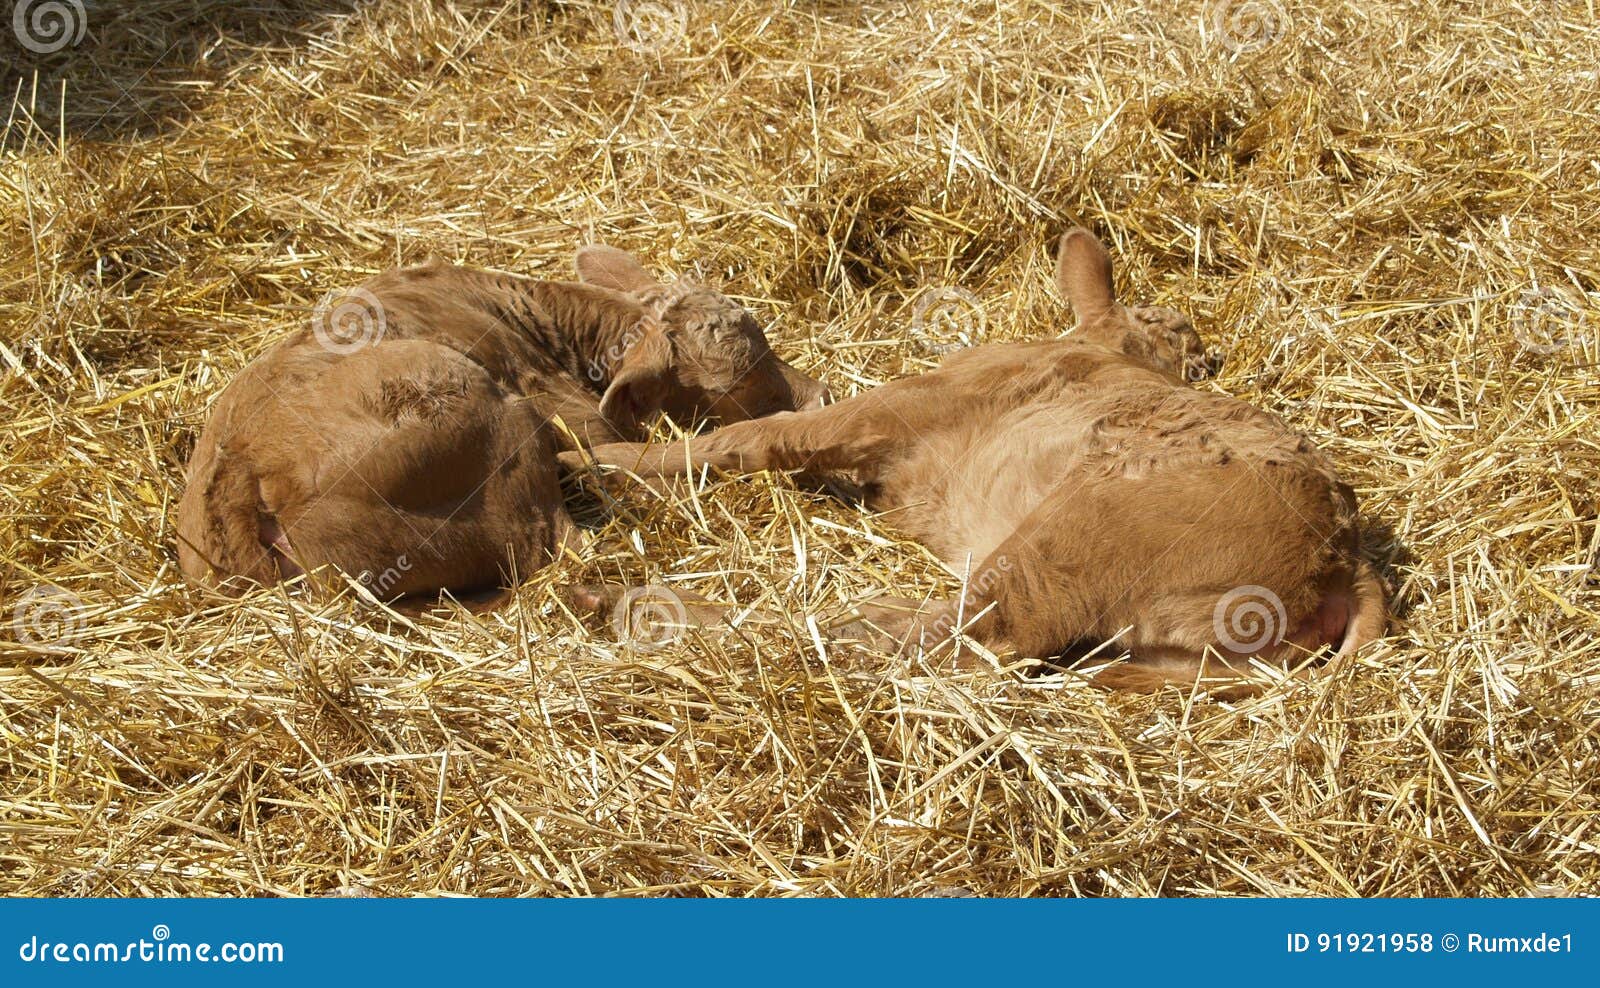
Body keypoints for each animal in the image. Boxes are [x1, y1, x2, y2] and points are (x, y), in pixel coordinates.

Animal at [178, 246, 825, 594]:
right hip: (495, 419)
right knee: (564, 545)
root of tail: (238, 490)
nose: (819, 394)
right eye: (744, 378)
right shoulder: (570, 413)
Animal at [566, 230, 1388, 687]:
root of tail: (1347, 560)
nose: (1205, 356)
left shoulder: (909, 402)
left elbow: (761, 436)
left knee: (963, 637)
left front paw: (596, 455)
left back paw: (635, 606)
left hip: (1084, 534)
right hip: (1164, 649)